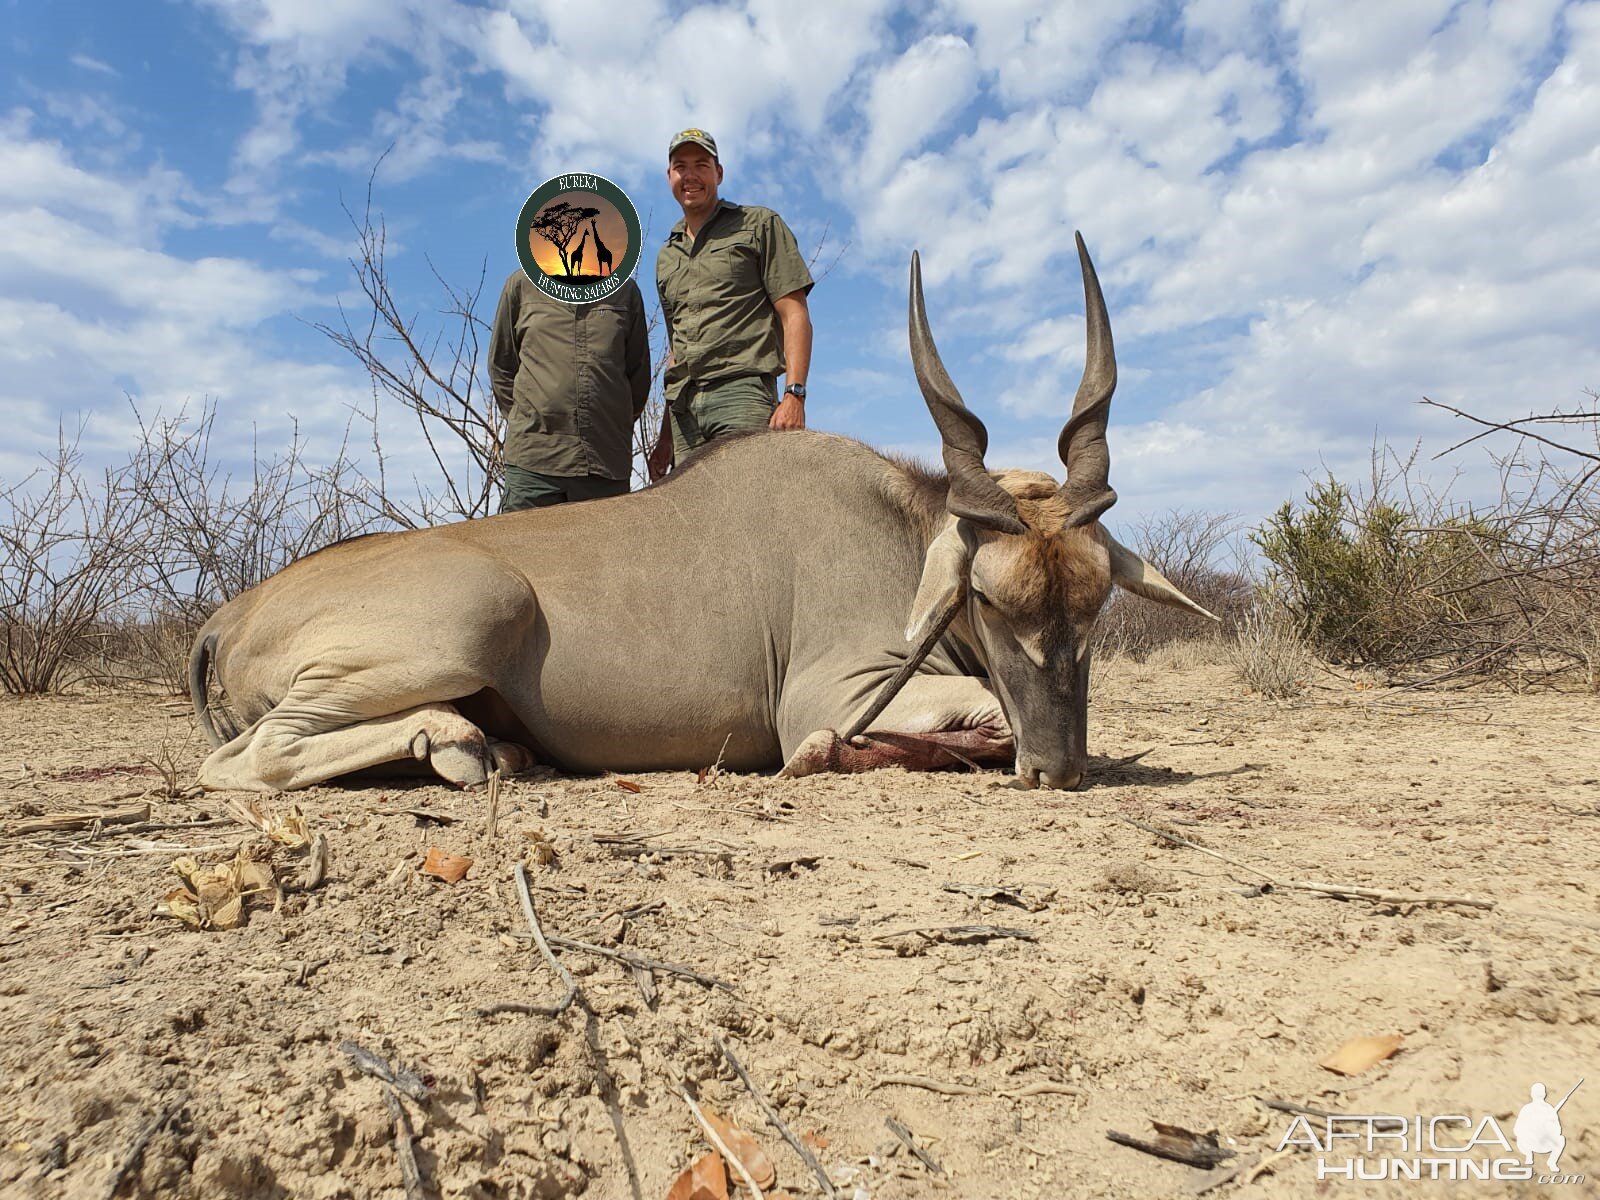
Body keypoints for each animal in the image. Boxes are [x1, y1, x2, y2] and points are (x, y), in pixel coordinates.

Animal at [187, 236, 1209, 800]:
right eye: (990, 602)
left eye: (1096, 603)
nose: (1059, 768)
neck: (895, 527)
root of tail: (228, 617)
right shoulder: (827, 693)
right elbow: (946, 718)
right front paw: (831, 756)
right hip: (476, 617)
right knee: (248, 758)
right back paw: (455, 742)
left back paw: (482, 744)